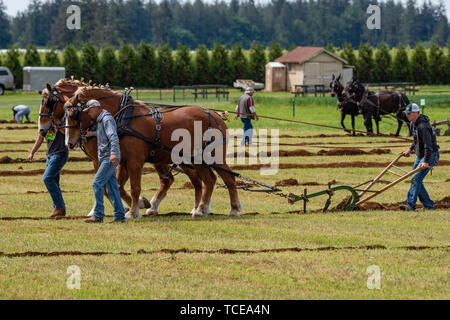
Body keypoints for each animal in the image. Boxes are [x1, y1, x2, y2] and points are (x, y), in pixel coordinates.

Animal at [38, 80, 202, 218]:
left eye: (48, 102)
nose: (41, 129)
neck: (119, 115)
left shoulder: (111, 158)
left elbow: (111, 186)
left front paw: (133, 206)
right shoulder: (113, 159)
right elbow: (112, 185)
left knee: (192, 178)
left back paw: (196, 208)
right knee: (169, 179)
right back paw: (157, 207)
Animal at [64, 86, 243, 219]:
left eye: (73, 114)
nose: (69, 143)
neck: (123, 117)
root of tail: (215, 115)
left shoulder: (135, 161)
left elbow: (135, 187)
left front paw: (133, 211)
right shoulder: (123, 160)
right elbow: (119, 186)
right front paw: (140, 204)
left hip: (213, 155)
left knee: (227, 178)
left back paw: (233, 209)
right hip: (195, 159)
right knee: (208, 180)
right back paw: (200, 209)